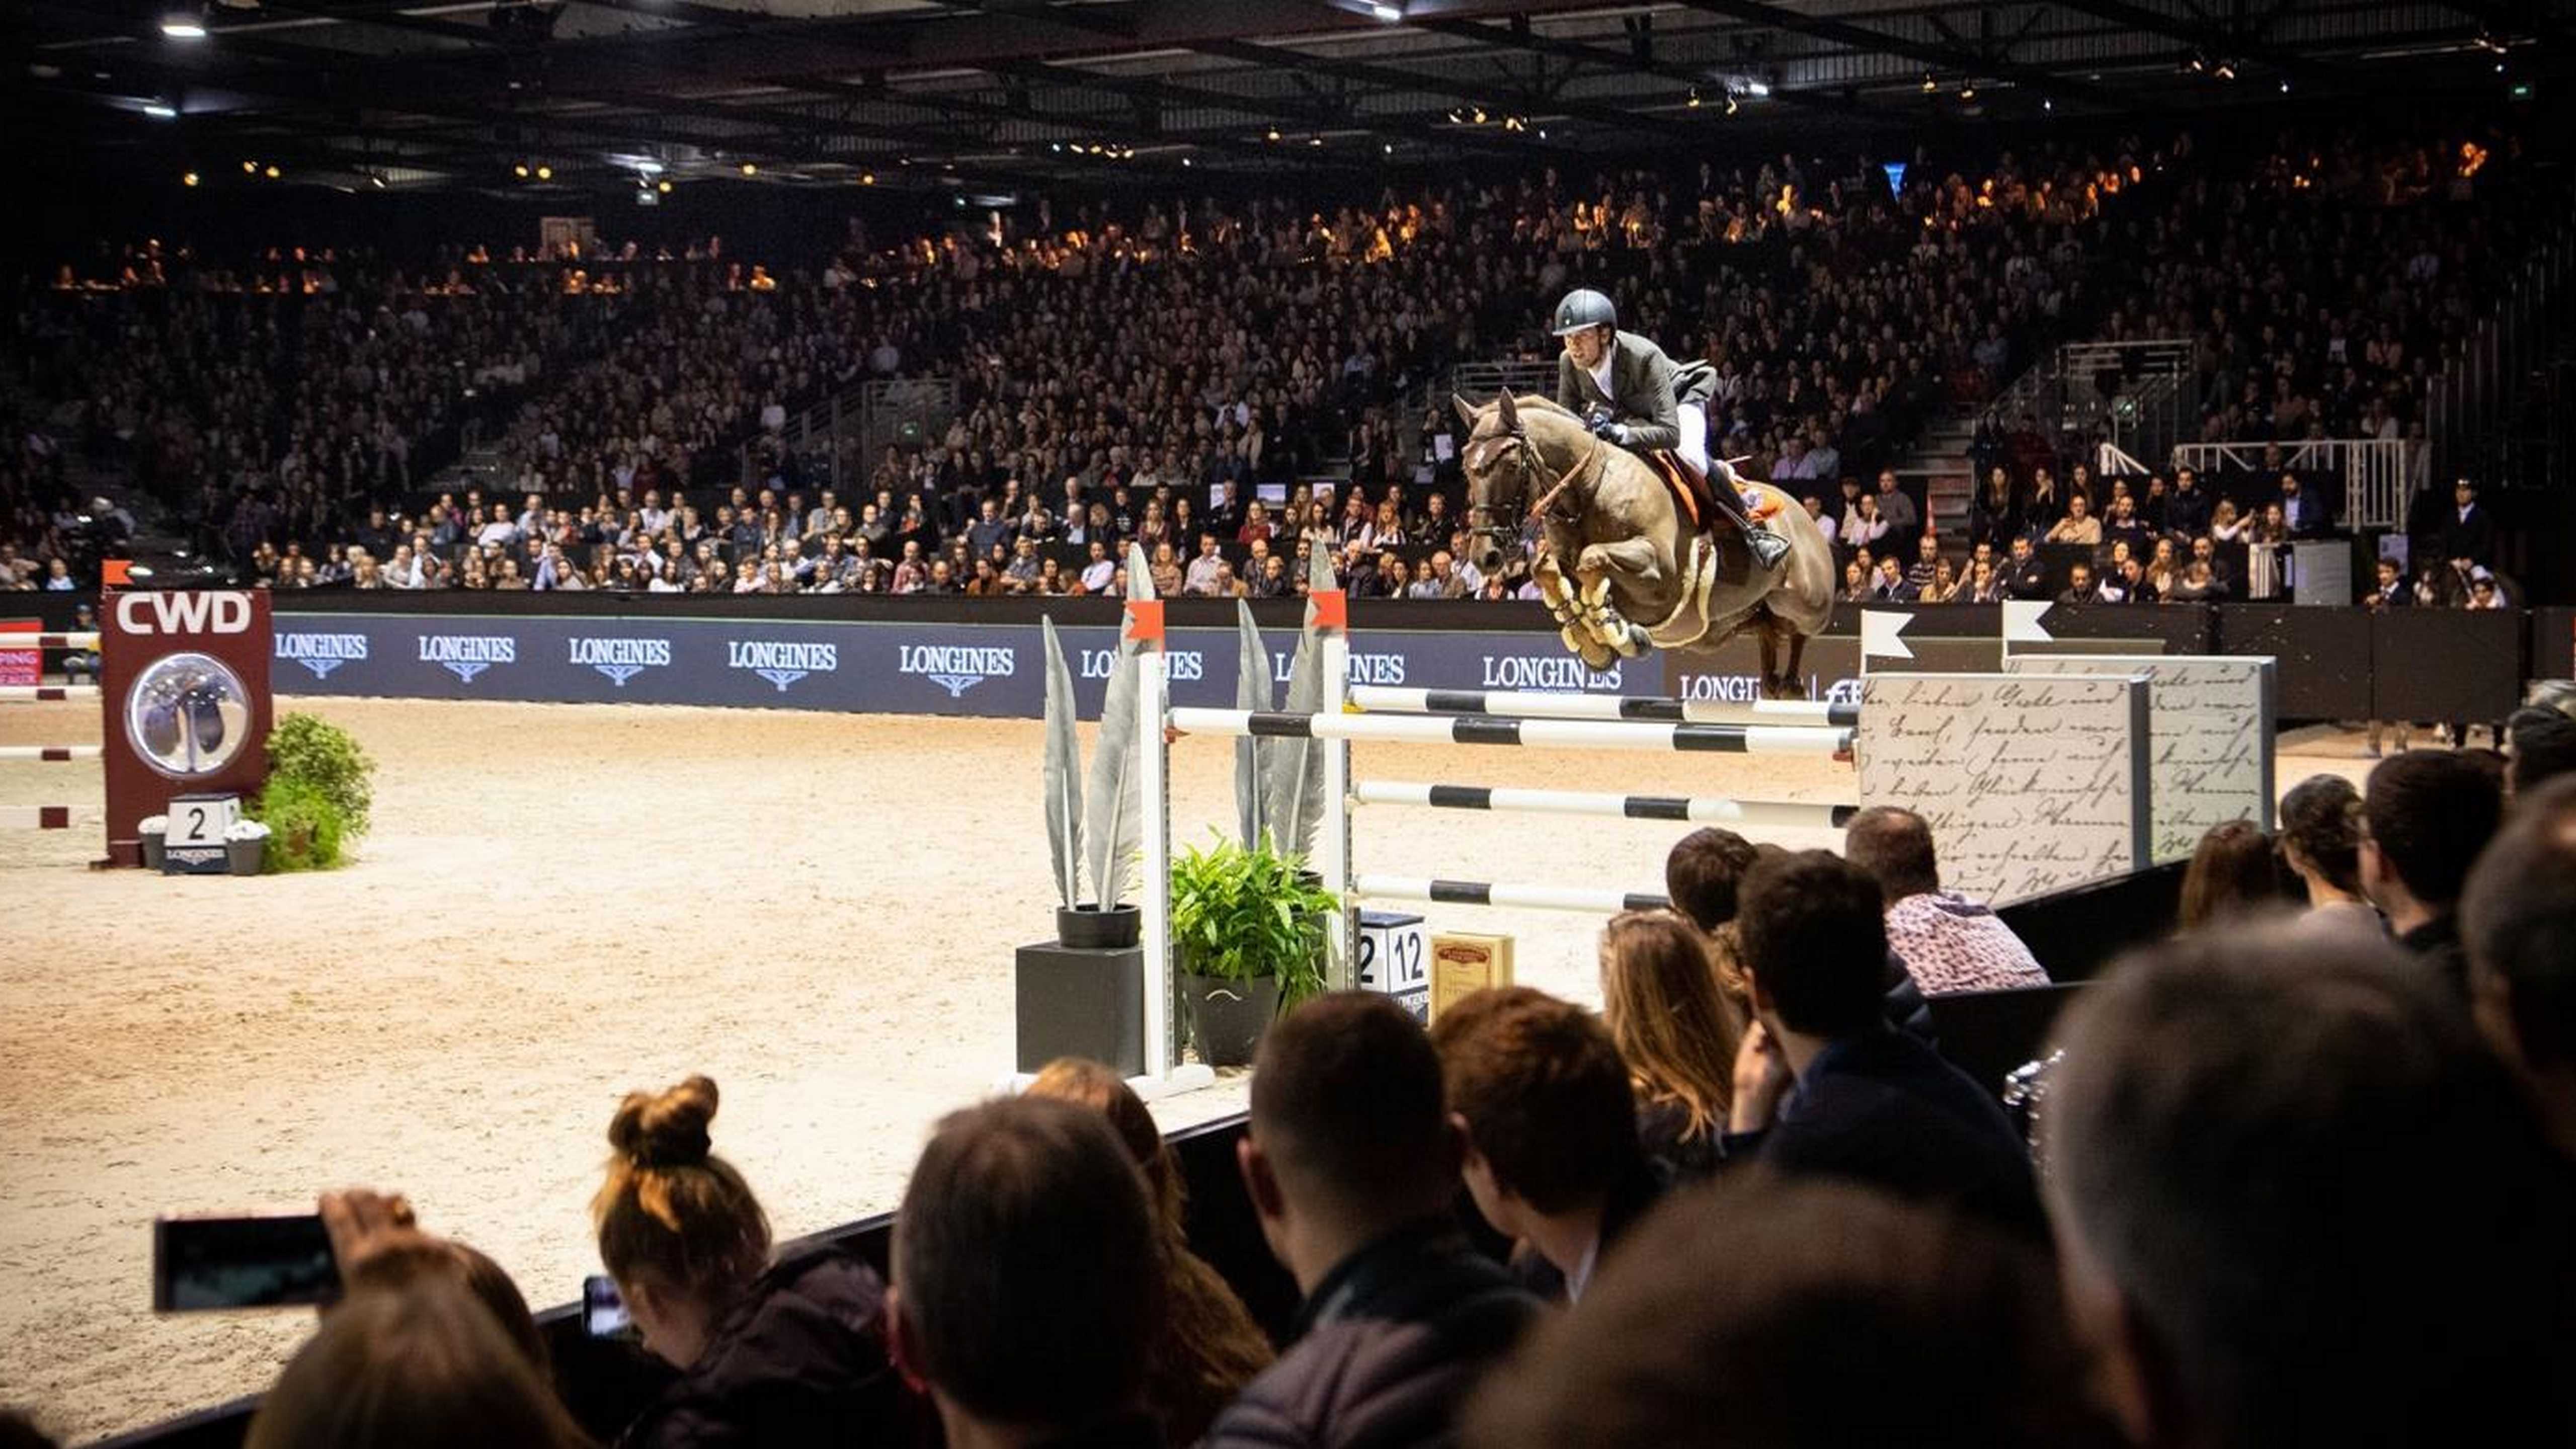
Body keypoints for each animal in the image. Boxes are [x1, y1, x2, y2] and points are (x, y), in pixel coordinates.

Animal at [1463, 389, 1844, 696]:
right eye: (1467, 468)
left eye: (1510, 465)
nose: (1485, 557)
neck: (1591, 486)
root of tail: (1803, 516)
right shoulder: (1561, 556)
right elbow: (1545, 570)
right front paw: (1594, 642)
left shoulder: (1661, 575)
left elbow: (1592, 559)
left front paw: (1617, 632)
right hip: (1718, 632)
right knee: (1768, 634)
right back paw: (1775, 682)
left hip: (1805, 602)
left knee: (1798, 632)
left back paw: (1791, 680)